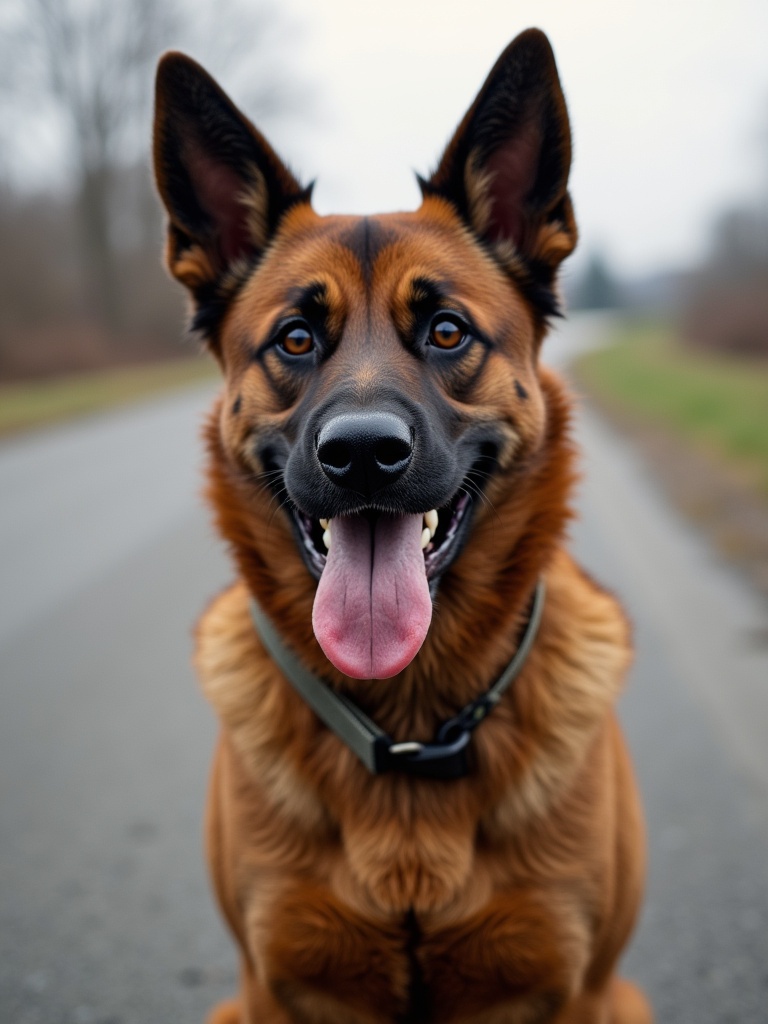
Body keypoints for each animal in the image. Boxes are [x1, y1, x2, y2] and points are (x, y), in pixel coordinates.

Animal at [153, 28, 651, 1024]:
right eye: (296, 339)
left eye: (448, 332)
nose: (362, 455)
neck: (413, 727)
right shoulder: (275, 988)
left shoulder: (573, 990)